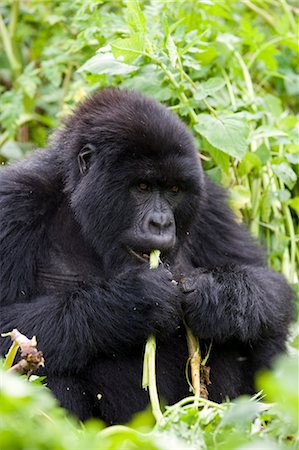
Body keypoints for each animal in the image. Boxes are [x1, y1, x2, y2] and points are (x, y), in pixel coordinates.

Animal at [0, 89, 296, 424]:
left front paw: (217, 297)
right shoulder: (14, 201)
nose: (162, 223)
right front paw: (134, 301)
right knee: (39, 357)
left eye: (174, 190)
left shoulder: (211, 203)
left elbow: (268, 282)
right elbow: (8, 327)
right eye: (142, 187)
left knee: (265, 324)